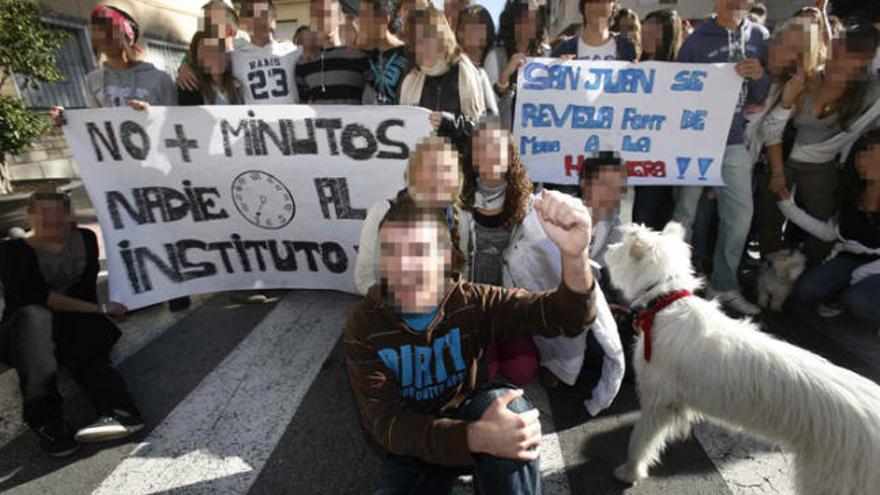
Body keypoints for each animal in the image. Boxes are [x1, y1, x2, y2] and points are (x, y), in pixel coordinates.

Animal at [604, 224, 880, 495]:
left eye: (622, 246)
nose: (607, 248)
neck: (665, 301)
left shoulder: (658, 400)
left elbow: (641, 439)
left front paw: (630, 471)